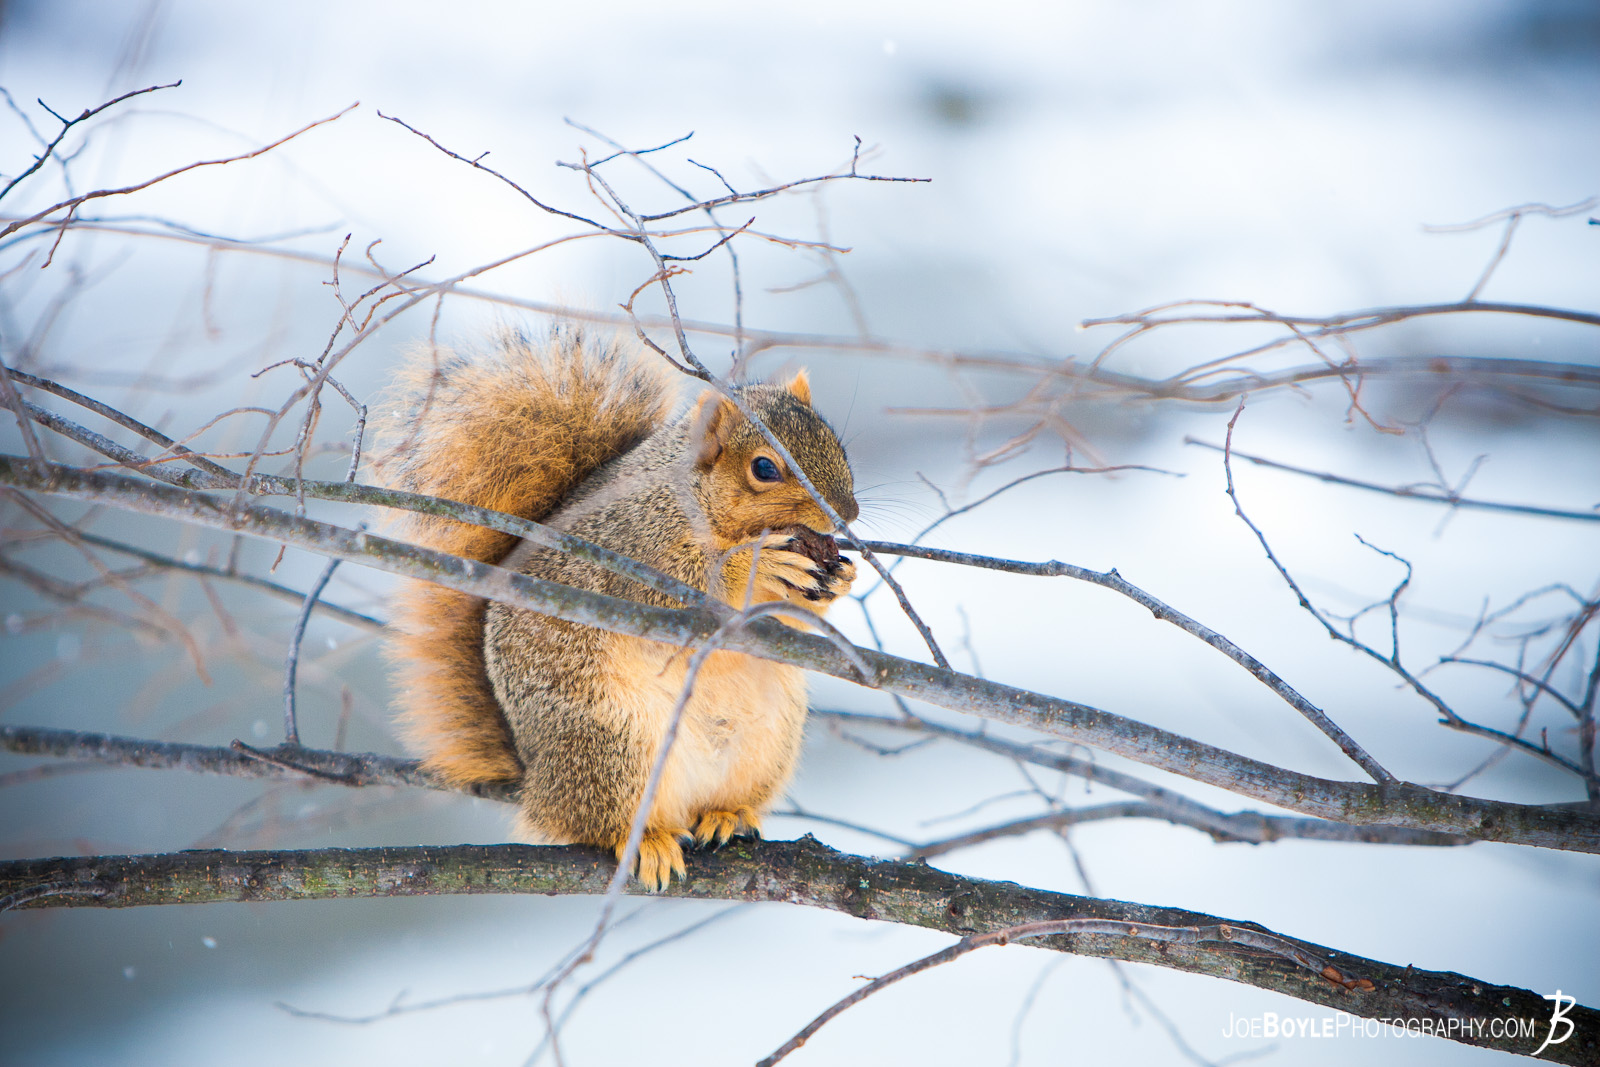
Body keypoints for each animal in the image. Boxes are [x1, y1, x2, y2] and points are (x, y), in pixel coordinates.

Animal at [379, 325, 858, 890]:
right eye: (764, 467)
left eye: (837, 445)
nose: (846, 516)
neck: (689, 496)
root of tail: (536, 780)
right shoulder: (629, 547)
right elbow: (675, 590)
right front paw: (759, 566)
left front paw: (838, 579)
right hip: (607, 742)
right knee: (599, 821)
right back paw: (646, 841)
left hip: (768, 737)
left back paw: (725, 814)